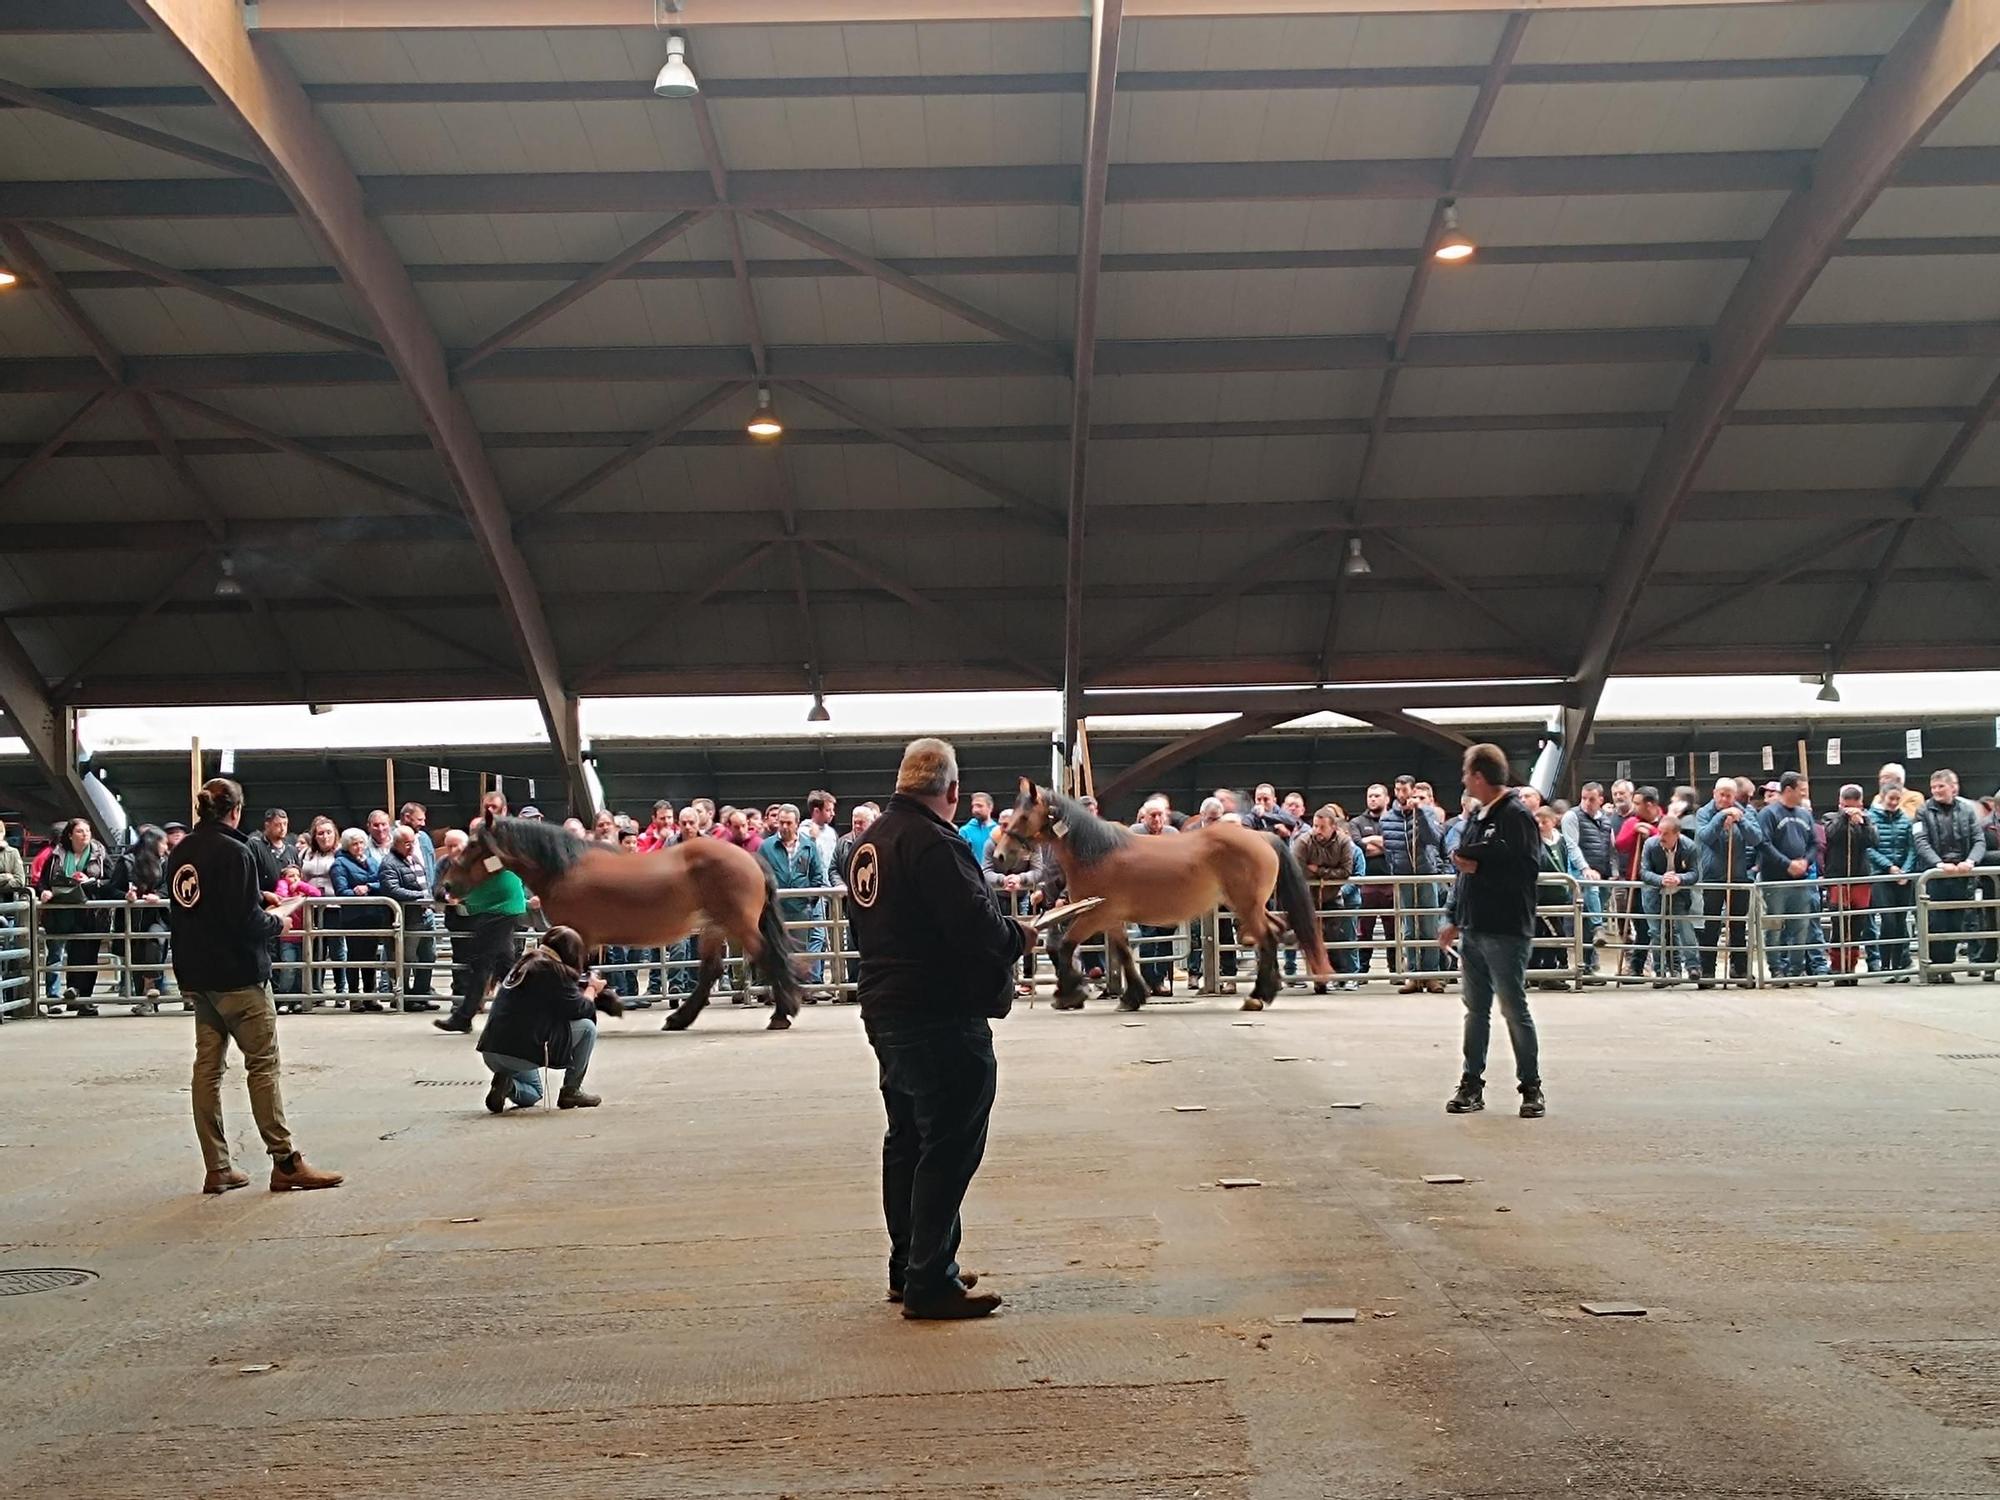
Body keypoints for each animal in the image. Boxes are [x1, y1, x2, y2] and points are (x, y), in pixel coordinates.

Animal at [446, 824, 804, 1032]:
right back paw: (679, 1019)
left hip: (739, 925)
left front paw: (609, 1003)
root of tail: (748, 858)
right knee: (711, 970)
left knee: (768, 957)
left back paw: (782, 1014)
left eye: (474, 845)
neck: (564, 870)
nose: (447, 886)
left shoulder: (577, 932)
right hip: (713, 928)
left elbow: (578, 972)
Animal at [996, 780, 1328, 1016]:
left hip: (1247, 906)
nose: (1000, 855)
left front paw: (1070, 993)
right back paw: (1271, 987)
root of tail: (1261, 837)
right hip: (1249, 906)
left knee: (1268, 938)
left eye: (1024, 815)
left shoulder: (1095, 915)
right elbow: (1124, 954)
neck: (1097, 853)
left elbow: (1062, 947)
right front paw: (1131, 997)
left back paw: (1258, 996)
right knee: (1277, 930)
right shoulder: (1111, 918)